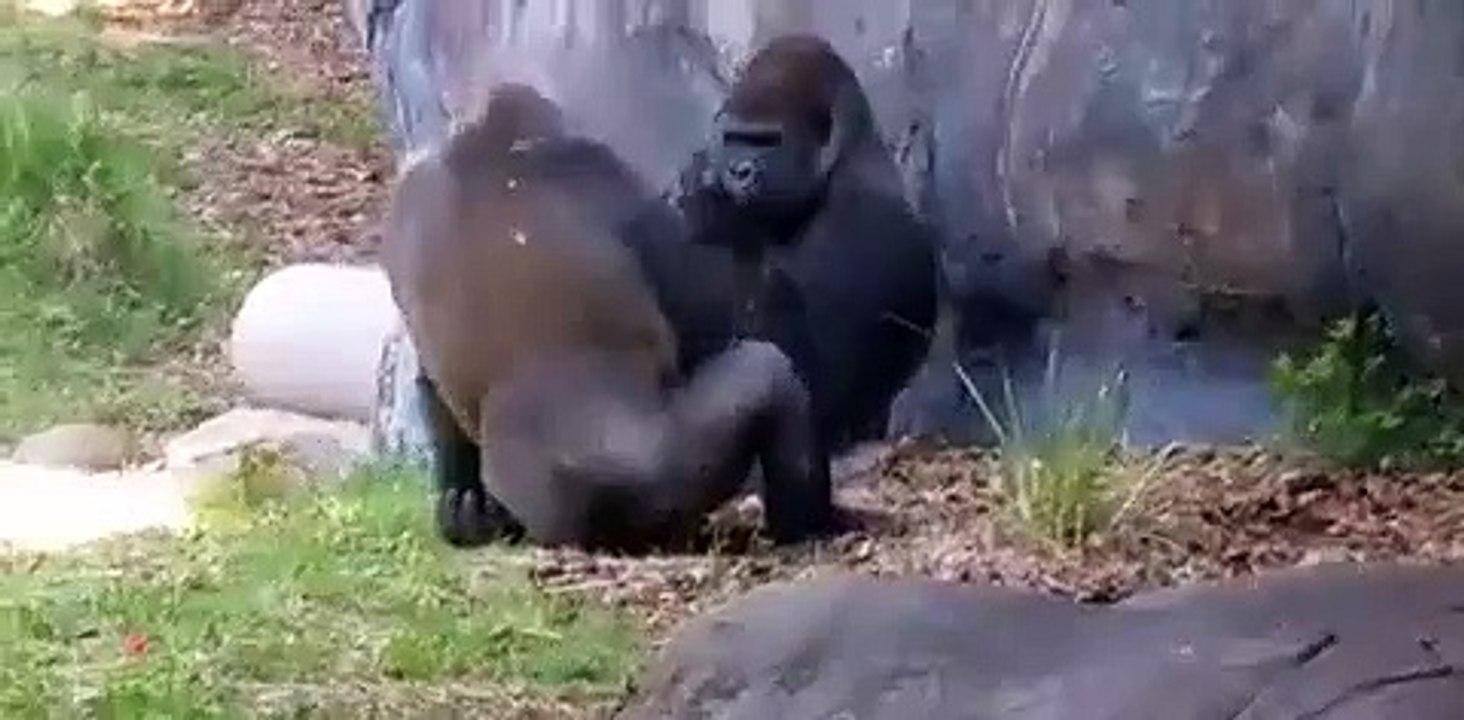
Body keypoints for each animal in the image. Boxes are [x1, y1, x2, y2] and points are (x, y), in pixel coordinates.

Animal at [380, 82, 846, 553]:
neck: (499, 145)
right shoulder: (610, 173)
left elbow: (431, 383)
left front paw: (464, 502)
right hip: (657, 487)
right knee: (769, 370)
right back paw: (808, 529)